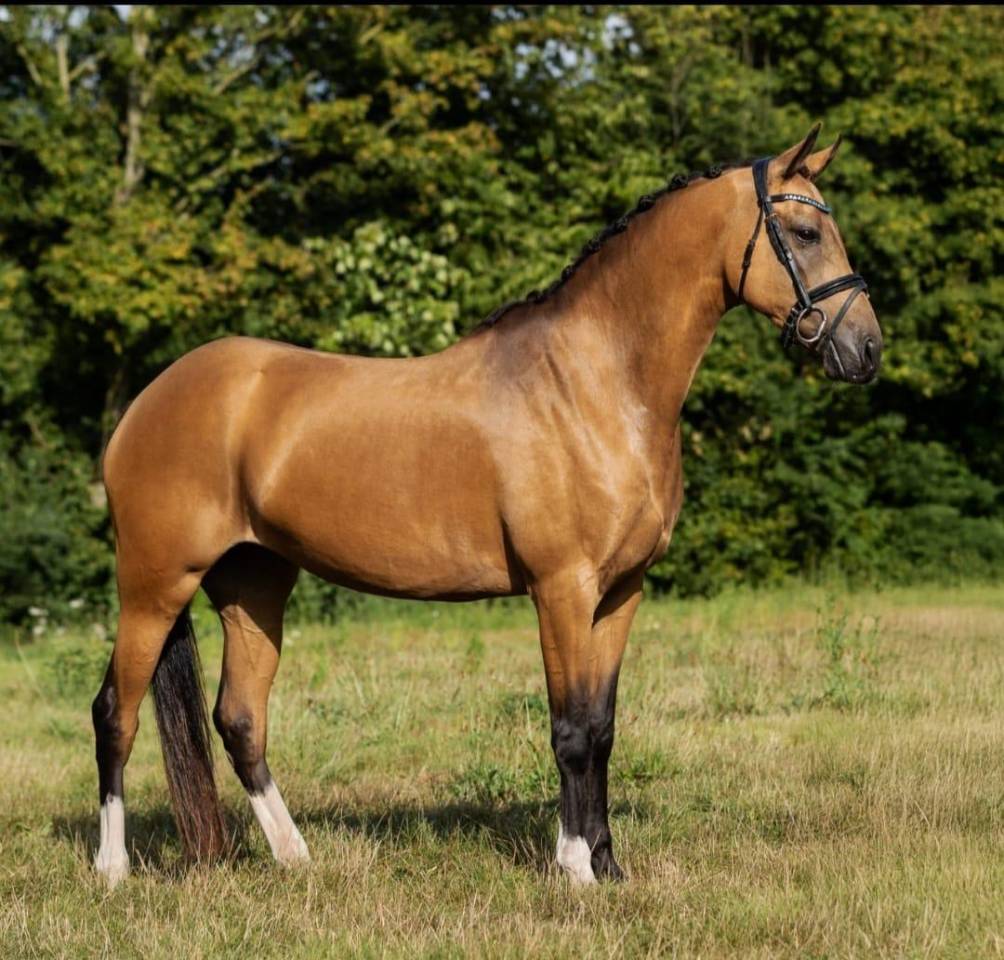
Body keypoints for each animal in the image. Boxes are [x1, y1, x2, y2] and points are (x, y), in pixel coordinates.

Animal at [91, 125, 882, 886]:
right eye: (805, 233)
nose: (866, 348)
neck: (593, 384)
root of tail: (145, 405)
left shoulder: (620, 594)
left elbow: (602, 729)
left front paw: (609, 866)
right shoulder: (561, 590)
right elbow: (570, 731)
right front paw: (574, 869)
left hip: (253, 583)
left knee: (240, 719)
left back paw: (295, 859)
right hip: (154, 585)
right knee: (115, 714)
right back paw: (112, 868)